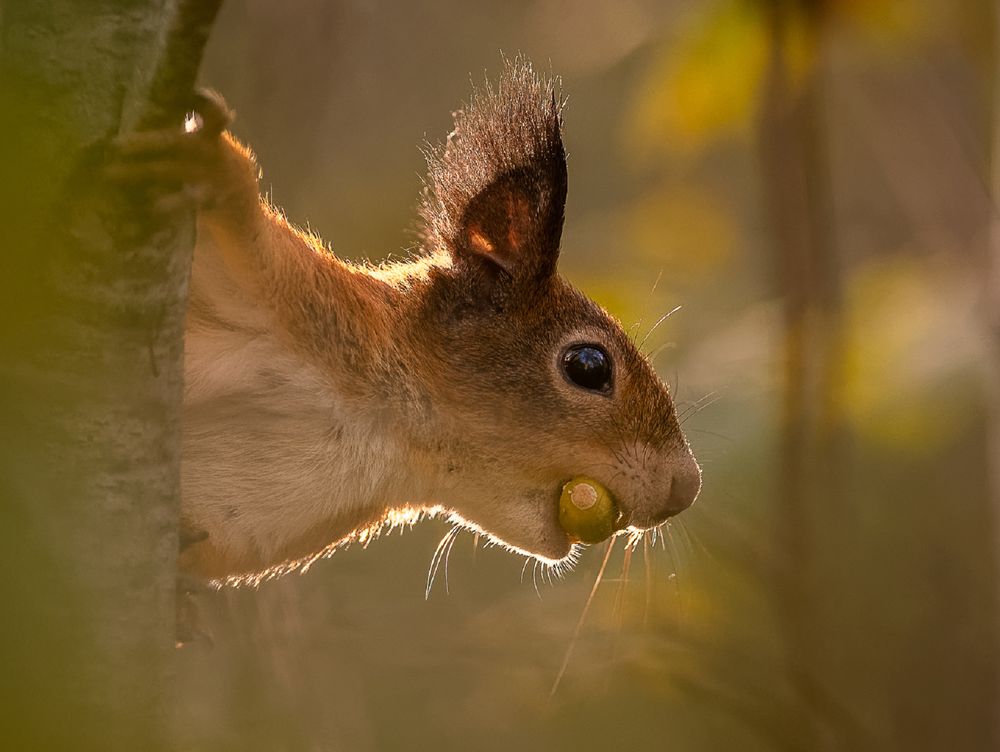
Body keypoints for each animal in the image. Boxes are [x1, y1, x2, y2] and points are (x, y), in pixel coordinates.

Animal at [111, 59, 701, 583]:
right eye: (588, 365)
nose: (685, 489)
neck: (390, 439)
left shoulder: (250, 530)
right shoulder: (294, 298)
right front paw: (208, 164)